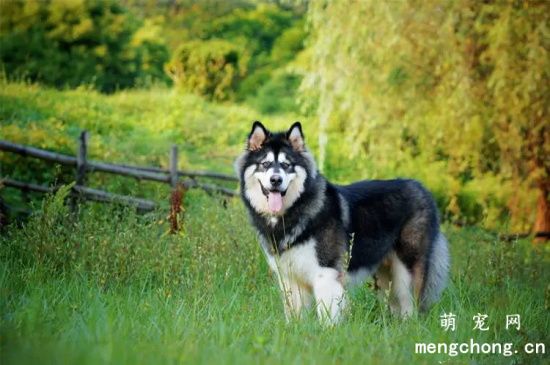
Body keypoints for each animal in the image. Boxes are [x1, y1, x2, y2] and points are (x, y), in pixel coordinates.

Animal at [235, 121, 450, 322]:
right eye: (265, 164)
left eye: (287, 165)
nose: (276, 180)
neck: (293, 210)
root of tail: (422, 188)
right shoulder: (290, 278)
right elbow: (295, 315)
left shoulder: (326, 273)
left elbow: (328, 315)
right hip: (385, 276)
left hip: (407, 272)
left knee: (411, 307)